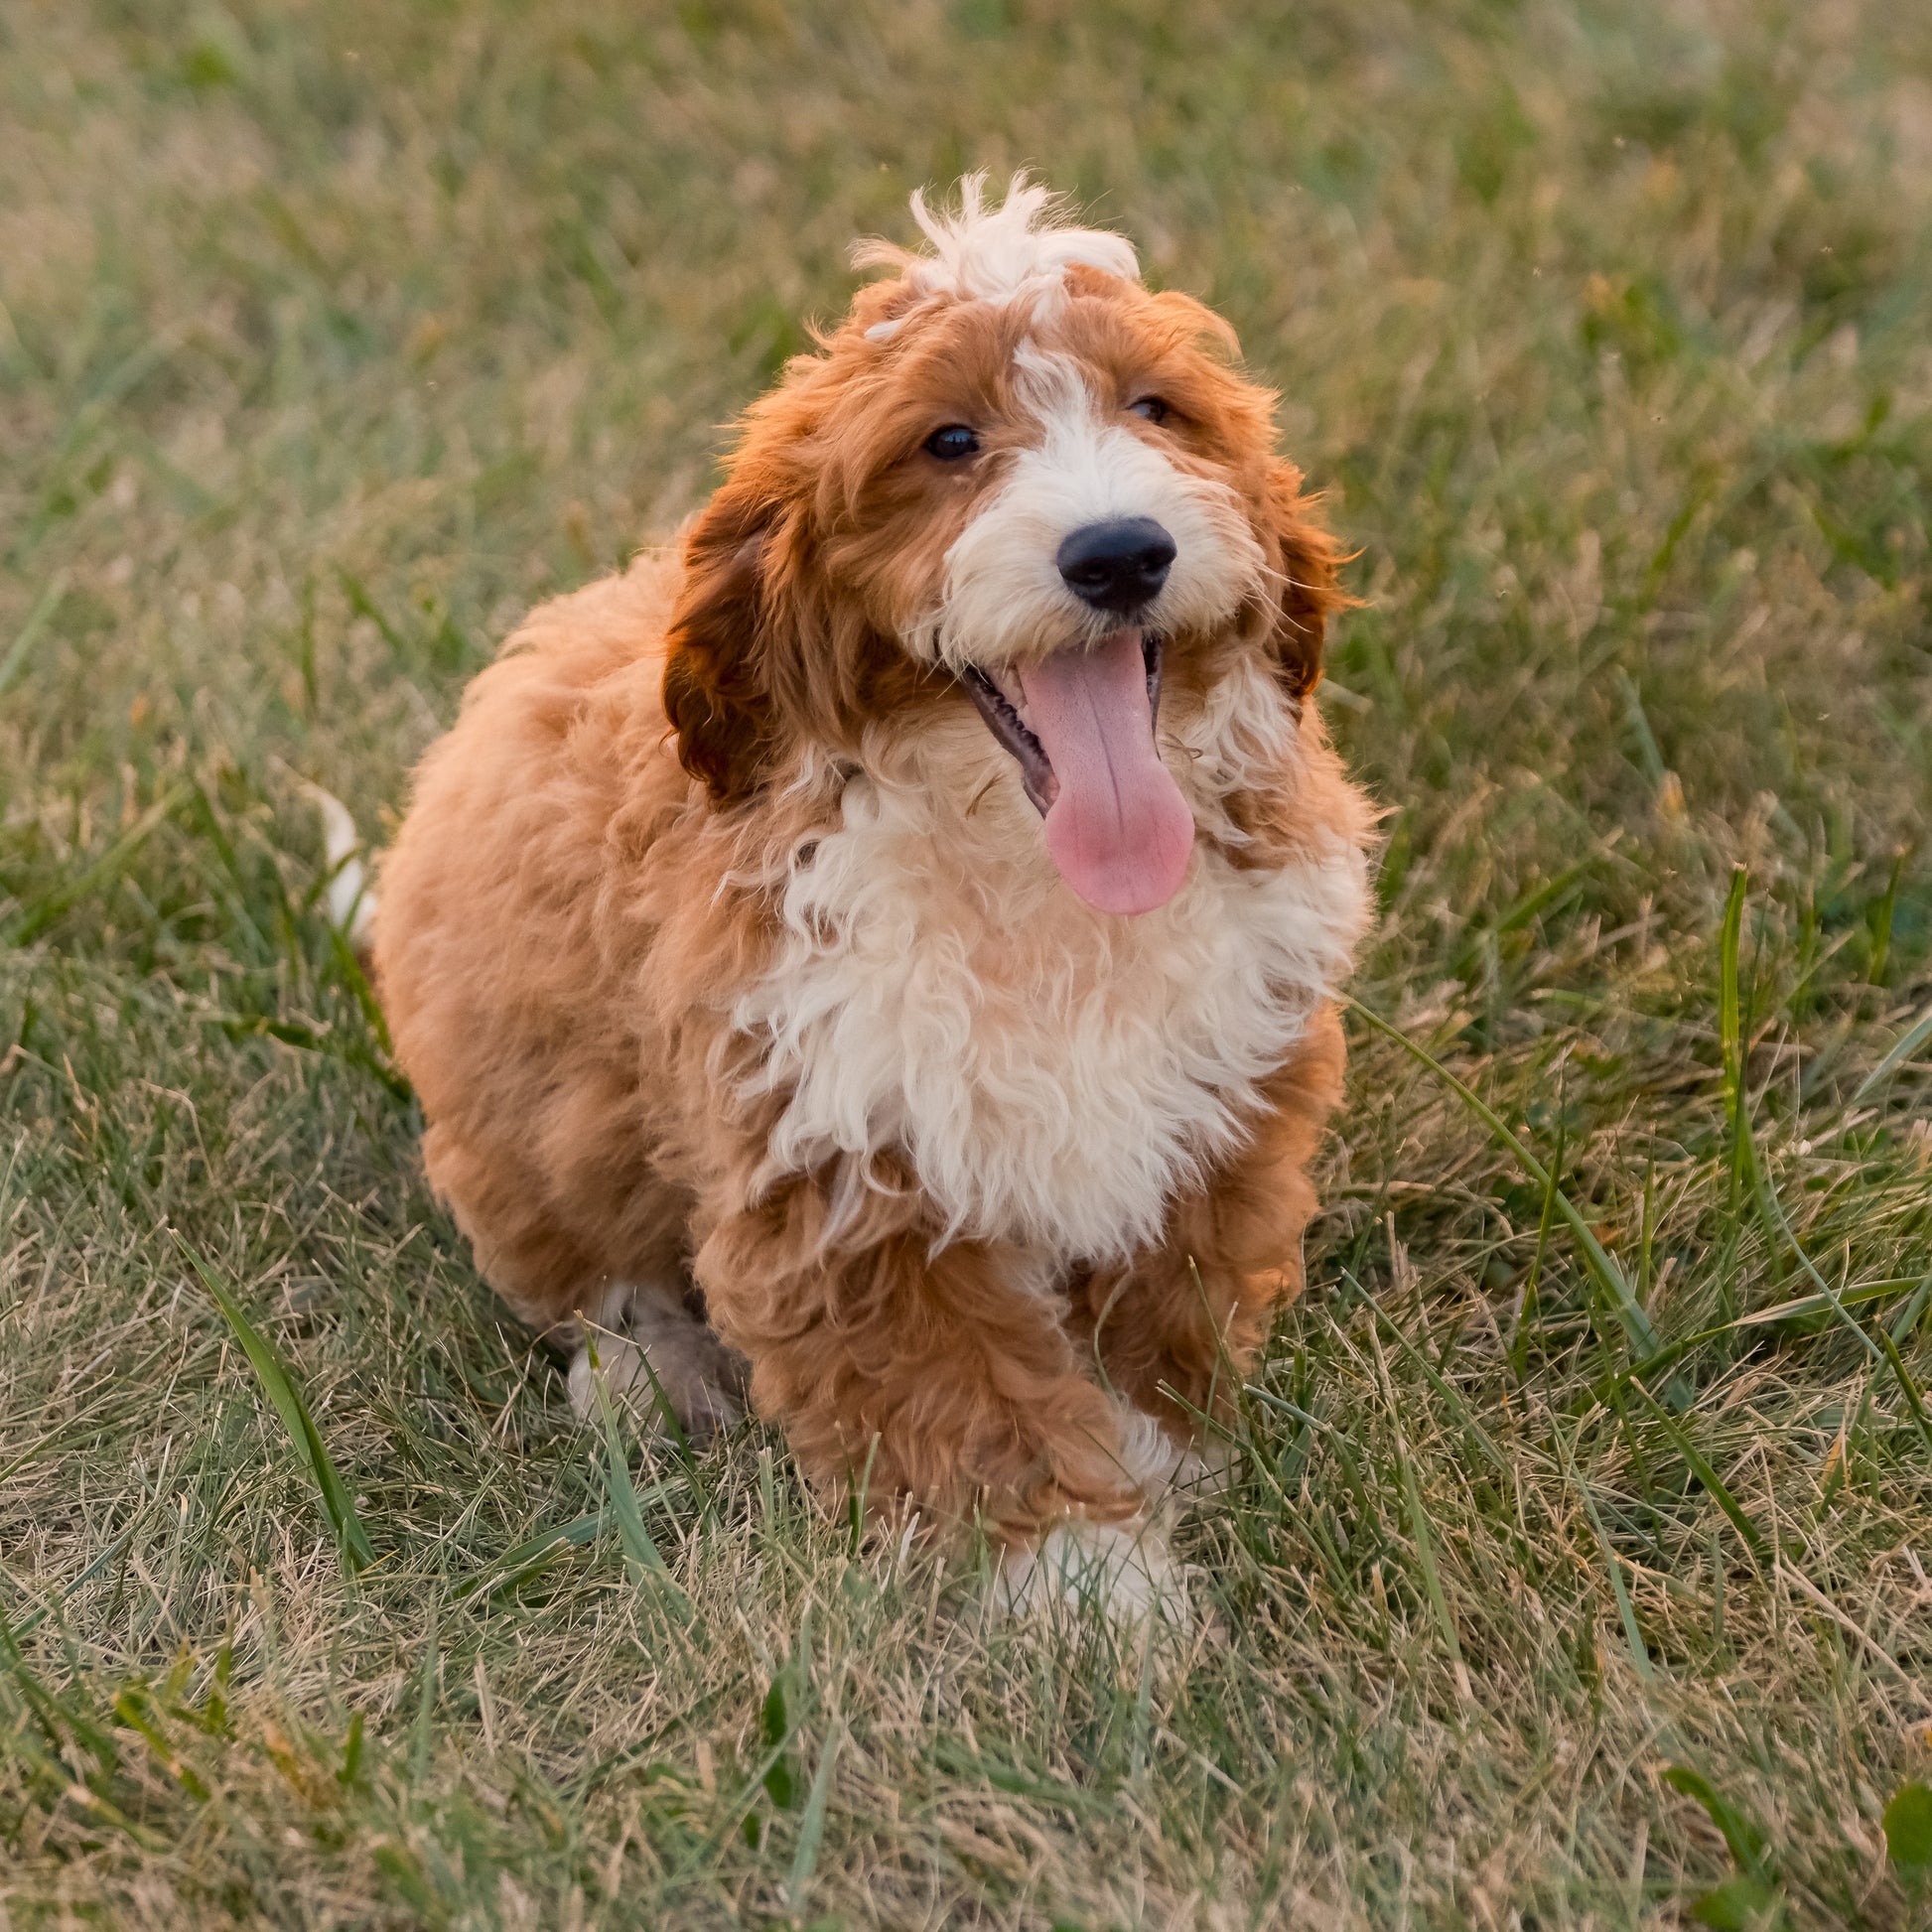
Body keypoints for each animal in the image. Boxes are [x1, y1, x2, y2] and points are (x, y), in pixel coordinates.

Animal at [372, 174, 1375, 1607]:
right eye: (947, 441)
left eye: (1154, 409)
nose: (1119, 552)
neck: (1026, 859)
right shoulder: (834, 1151)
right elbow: (963, 1392)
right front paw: (1086, 1595)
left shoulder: (1220, 1084)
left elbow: (1162, 1303)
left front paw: (1157, 1459)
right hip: (522, 1112)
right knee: (584, 1270)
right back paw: (650, 1376)